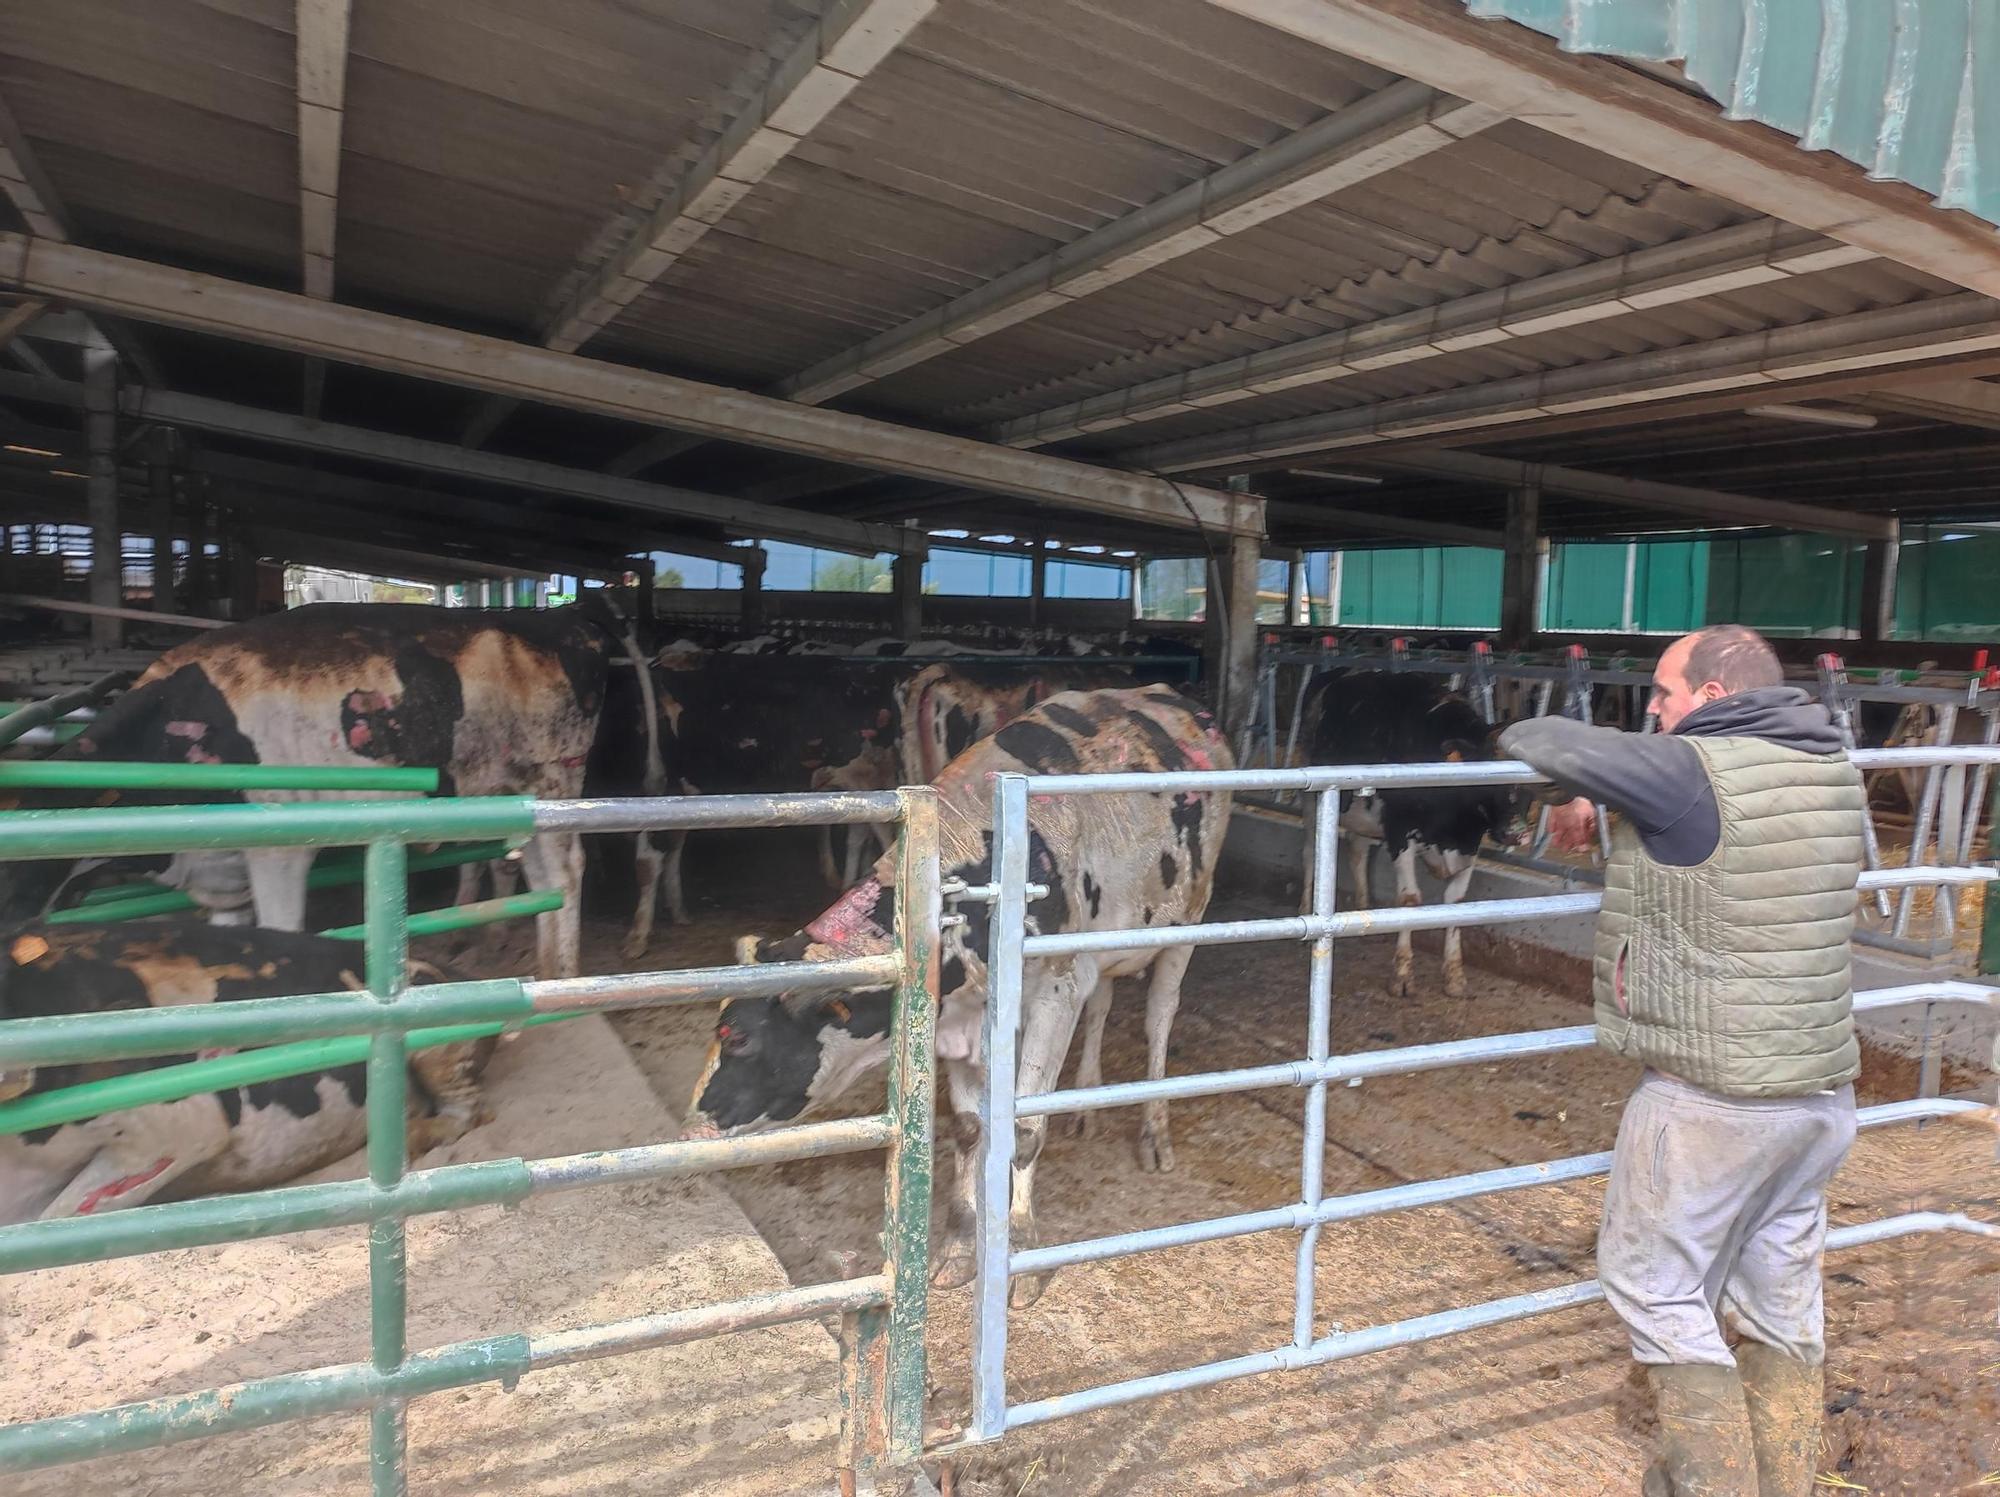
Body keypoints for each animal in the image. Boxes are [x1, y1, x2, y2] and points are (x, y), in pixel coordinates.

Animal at [680, 688, 1224, 1312]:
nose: (689, 1129)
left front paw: (1022, 1258)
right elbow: (968, 1129)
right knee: (1104, 1003)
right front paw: (961, 1249)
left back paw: (1155, 1131)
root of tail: (1171, 700)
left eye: (739, 1037)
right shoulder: (965, 1020)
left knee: (1160, 1016)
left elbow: (1026, 1131)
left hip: (1189, 918)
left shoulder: (1056, 991)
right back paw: (1087, 1101)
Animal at [1296, 672, 1528, 1000]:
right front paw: (1403, 975)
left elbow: (1456, 903)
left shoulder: (1469, 845)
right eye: (1489, 775)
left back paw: (1364, 910)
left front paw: (1454, 976)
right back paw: (1305, 907)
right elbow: (1409, 900)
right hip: (1310, 800)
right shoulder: (1399, 831)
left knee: (1357, 851)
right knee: (1309, 853)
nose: (1517, 833)